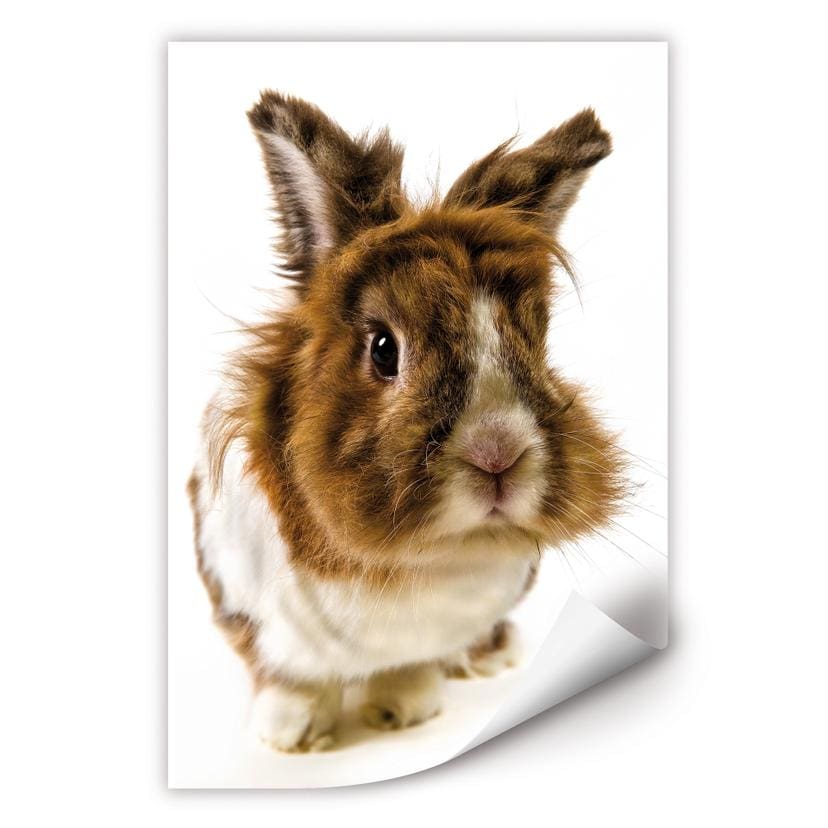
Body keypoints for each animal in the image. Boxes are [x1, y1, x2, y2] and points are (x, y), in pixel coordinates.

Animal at [187, 90, 626, 752]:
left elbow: (410, 667)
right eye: (383, 350)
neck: (414, 561)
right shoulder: (246, 603)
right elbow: (287, 678)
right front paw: (292, 736)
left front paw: (402, 711)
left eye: (536, 342)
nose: (498, 455)